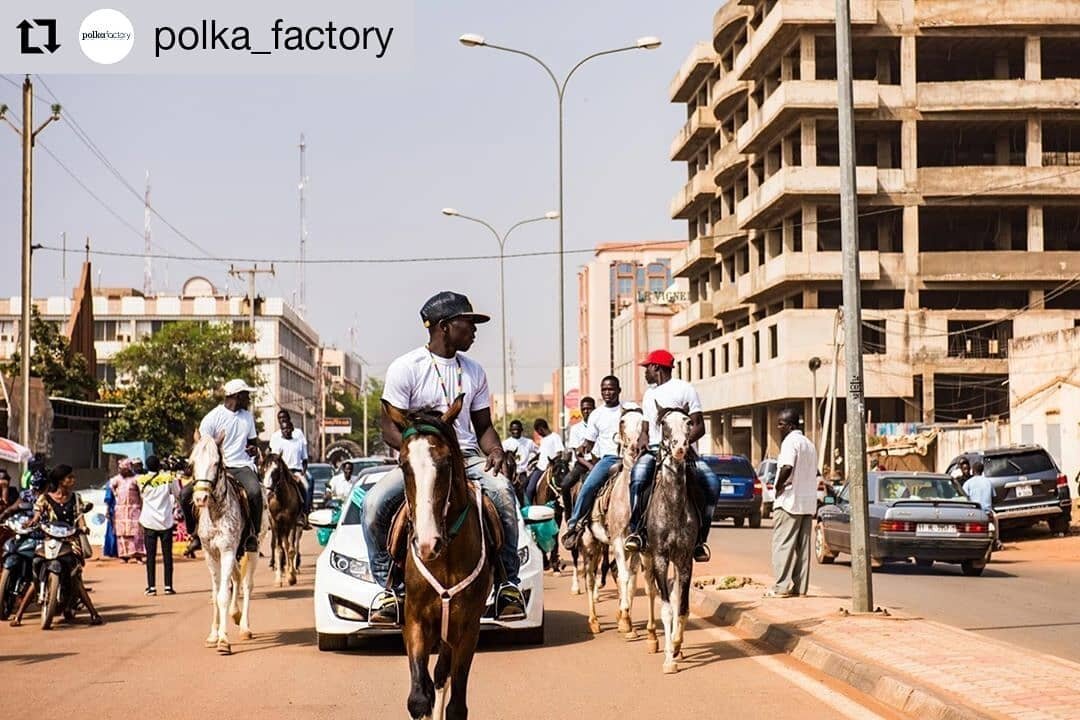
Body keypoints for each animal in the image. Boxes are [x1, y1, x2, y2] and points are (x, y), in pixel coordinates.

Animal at [189, 431, 268, 656]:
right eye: (192, 463)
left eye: (216, 463)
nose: (200, 498)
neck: (216, 512)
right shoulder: (211, 554)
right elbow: (216, 594)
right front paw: (213, 635)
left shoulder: (226, 551)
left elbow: (223, 595)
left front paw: (223, 640)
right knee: (236, 578)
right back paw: (235, 614)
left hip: (252, 548)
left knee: (247, 584)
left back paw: (245, 627)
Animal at [263, 453, 306, 587]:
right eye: (264, 470)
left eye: (276, 471)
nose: (268, 491)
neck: (282, 500)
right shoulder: (276, 524)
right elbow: (279, 549)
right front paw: (278, 579)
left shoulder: (292, 523)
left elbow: (291, 550)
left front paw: (291, 577)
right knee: (283, 545)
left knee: (291, 545)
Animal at [382, 397, 492, 720]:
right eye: (403, 464)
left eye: (445, 464)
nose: (427, 544)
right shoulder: (415, 621)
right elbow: (419, 698)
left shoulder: (468, 628)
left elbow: (456, 704)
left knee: (443, 675)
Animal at [578, 410, 643, 634]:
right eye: (622, 423)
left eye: (643, 422)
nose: (634, 448)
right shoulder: (617, 540)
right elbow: (624, 576)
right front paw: (624, 621)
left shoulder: (635, 545)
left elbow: (632, 580)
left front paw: (626, 618)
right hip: (589, 544)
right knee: (589, 578)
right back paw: (593, 621)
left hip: (601, 546)